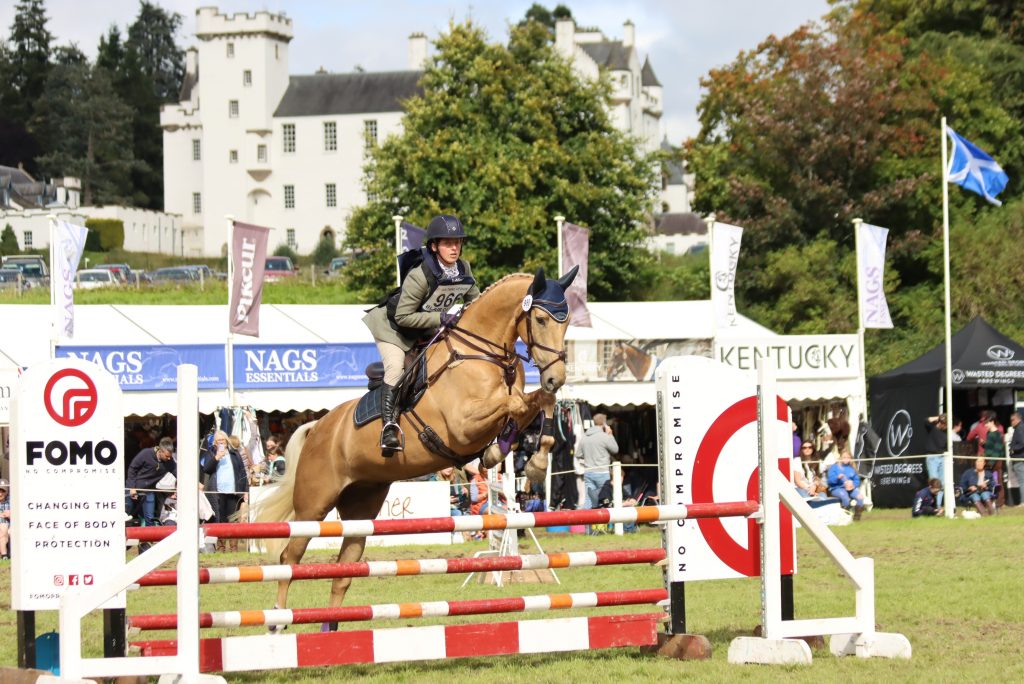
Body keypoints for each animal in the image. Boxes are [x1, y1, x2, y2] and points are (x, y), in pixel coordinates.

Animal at [253, 266, 577, 618]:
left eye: (567, 322)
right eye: (541, 320)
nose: (556, 376)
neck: (483, 353)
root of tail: (317, 428)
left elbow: (539, 402)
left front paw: (531, 460)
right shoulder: (462, 426)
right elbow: (514, 405)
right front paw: (502, 454)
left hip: (360, 507)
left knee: (342, 573)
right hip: (313, 506)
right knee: (289, 558)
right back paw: (278, 618)